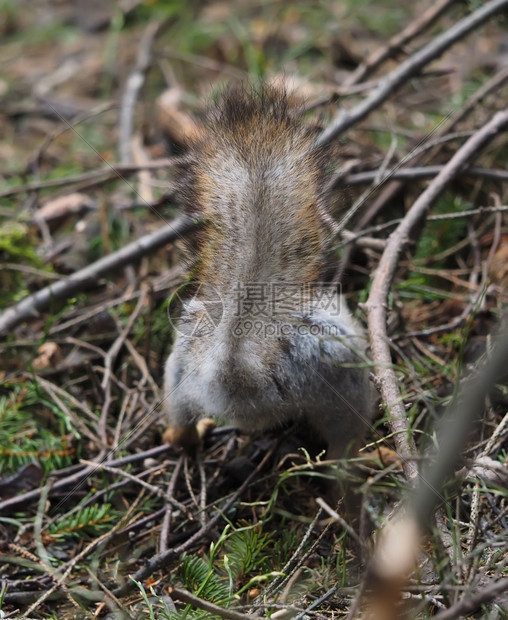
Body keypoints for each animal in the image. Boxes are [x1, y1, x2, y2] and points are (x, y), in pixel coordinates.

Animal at [163, 82, 374, 470]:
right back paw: (359, 457)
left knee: (180, 417)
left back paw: (184, 436)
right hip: (341, 380)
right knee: (344, 437)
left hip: (180, 369)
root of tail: (237, 374)